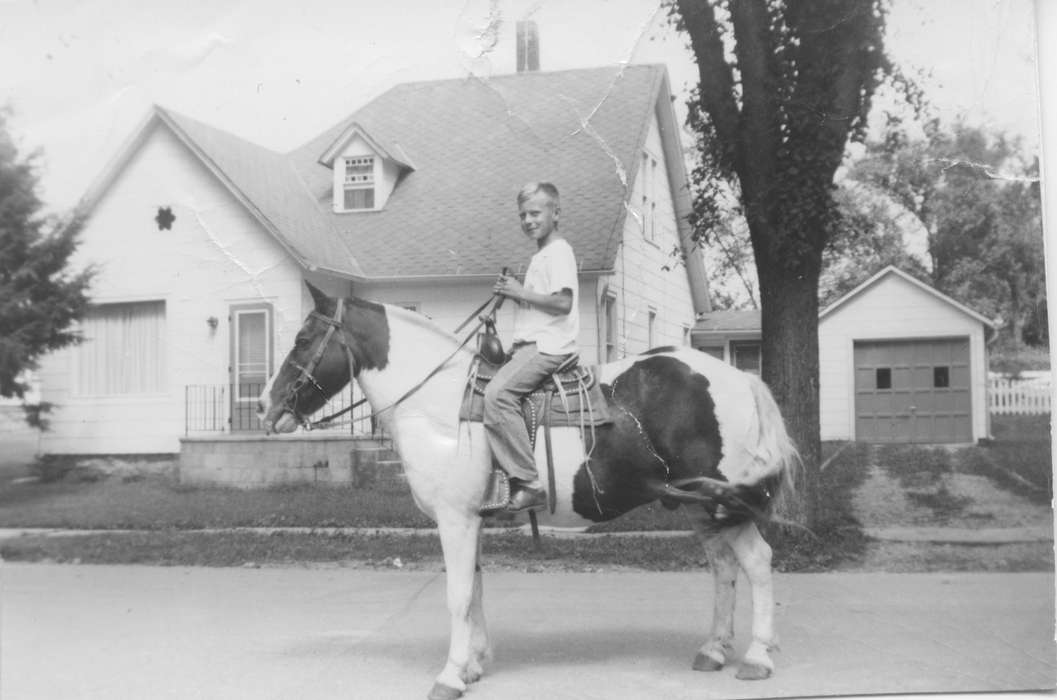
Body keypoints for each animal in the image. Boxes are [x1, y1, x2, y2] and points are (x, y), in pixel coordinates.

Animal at [260, 283, 794, 697]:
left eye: (303, 338)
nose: (267, 405)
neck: (442, 406)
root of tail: (741, 379)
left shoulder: (455, 519)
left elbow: (458, 595)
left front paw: (450, 676)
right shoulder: (470, 520)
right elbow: (475, 590)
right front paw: (474, 665)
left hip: (729, 503)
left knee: (757, 562)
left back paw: (757, 657)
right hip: (703, 506)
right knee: (723, 568)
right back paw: (713, 650)